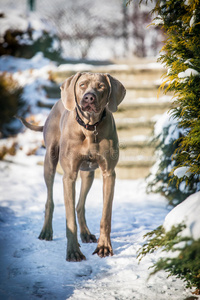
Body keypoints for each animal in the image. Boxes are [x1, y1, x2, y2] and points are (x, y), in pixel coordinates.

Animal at [18, 72, 125, 260]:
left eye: (101, 86)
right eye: (82, 85)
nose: (89, 97)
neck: (90, 127)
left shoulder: (109, 173)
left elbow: (105, 216)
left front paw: (104, 246)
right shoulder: (69, 177)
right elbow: (69, 221)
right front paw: (73, 251)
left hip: (88, 173)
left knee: (80, 206)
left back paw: (86, 233)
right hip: (50, 162)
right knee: (50, 200)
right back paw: (46, 231)